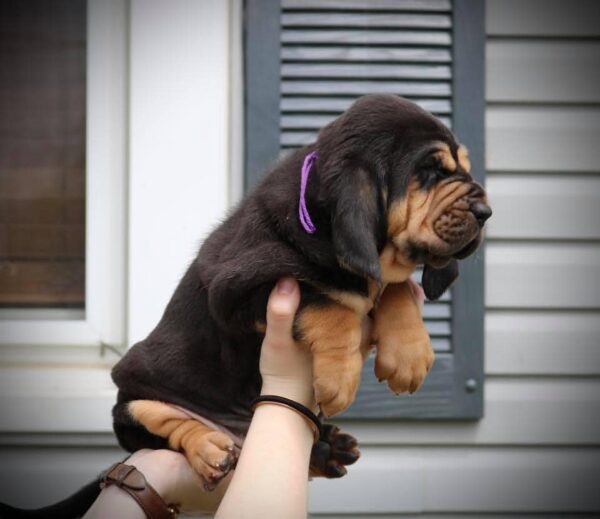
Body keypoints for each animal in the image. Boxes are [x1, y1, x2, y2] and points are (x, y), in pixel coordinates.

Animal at [110, 94, 490, 492]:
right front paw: (340, 377)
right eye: (430, 171)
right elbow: (328, 302)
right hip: (136, 396)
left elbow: (394, 288)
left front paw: (408, 355)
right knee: (165, 423)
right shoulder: (237, 289)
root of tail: (238, 432)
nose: (486, 212)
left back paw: (329, 448)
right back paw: (209, 449)